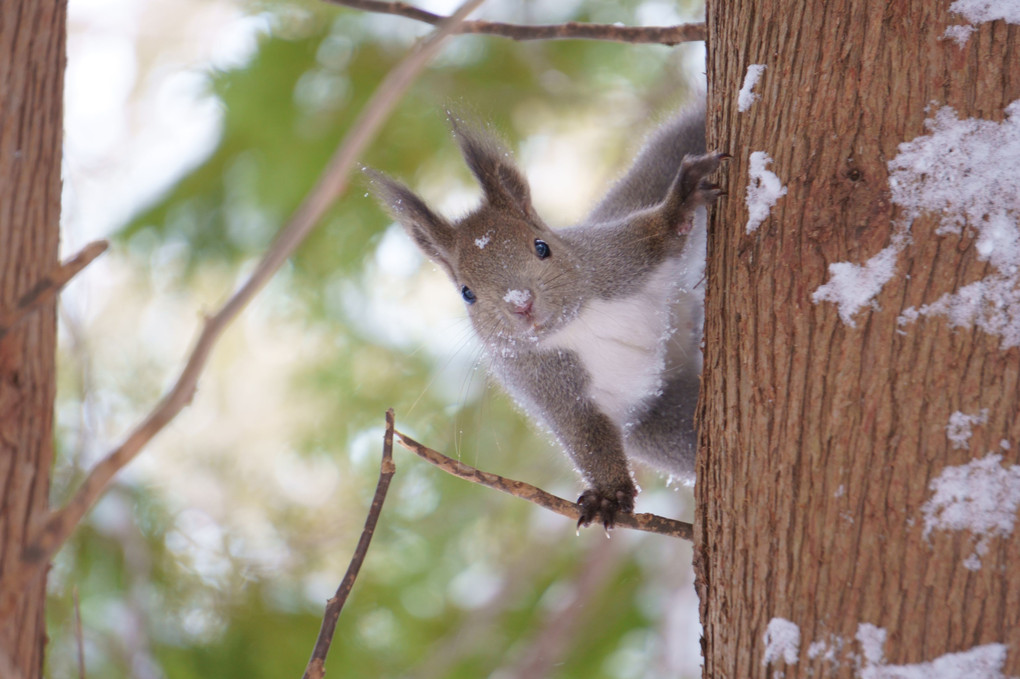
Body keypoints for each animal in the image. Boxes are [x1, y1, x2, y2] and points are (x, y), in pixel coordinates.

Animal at [367, 102, 726, 530]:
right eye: (467, 292)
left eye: (542, 247)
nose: (521, 303)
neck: (576, 323)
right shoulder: (547, 386)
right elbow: (585, 437)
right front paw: (609, 495)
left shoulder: (620, 256)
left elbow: (662, 233)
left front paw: (681, 200)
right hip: (658, 421)